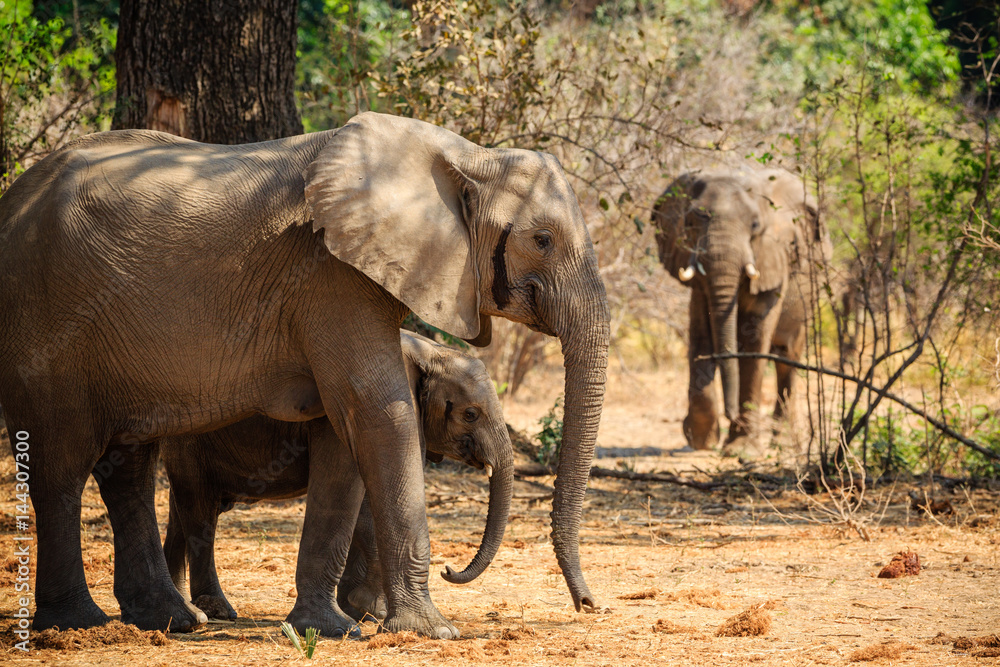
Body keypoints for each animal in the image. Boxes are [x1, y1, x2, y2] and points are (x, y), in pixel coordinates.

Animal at [161, 330, 512, 625]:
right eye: (470, 414)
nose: (447, 569)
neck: (432, 351)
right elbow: (367, 509)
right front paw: (369, 608)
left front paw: (357, 609)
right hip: (190, 440)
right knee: (199, 511)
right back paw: (216, 611)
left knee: (183, 511)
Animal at [652, 167, 830, 452]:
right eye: (690, 221)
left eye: (756, 226)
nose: (730, 413)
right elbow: (701, 335)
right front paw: (701, 440)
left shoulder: (774, 257)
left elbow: (754, 339)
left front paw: (741, 448)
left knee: (787, 357)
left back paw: (785, 444)